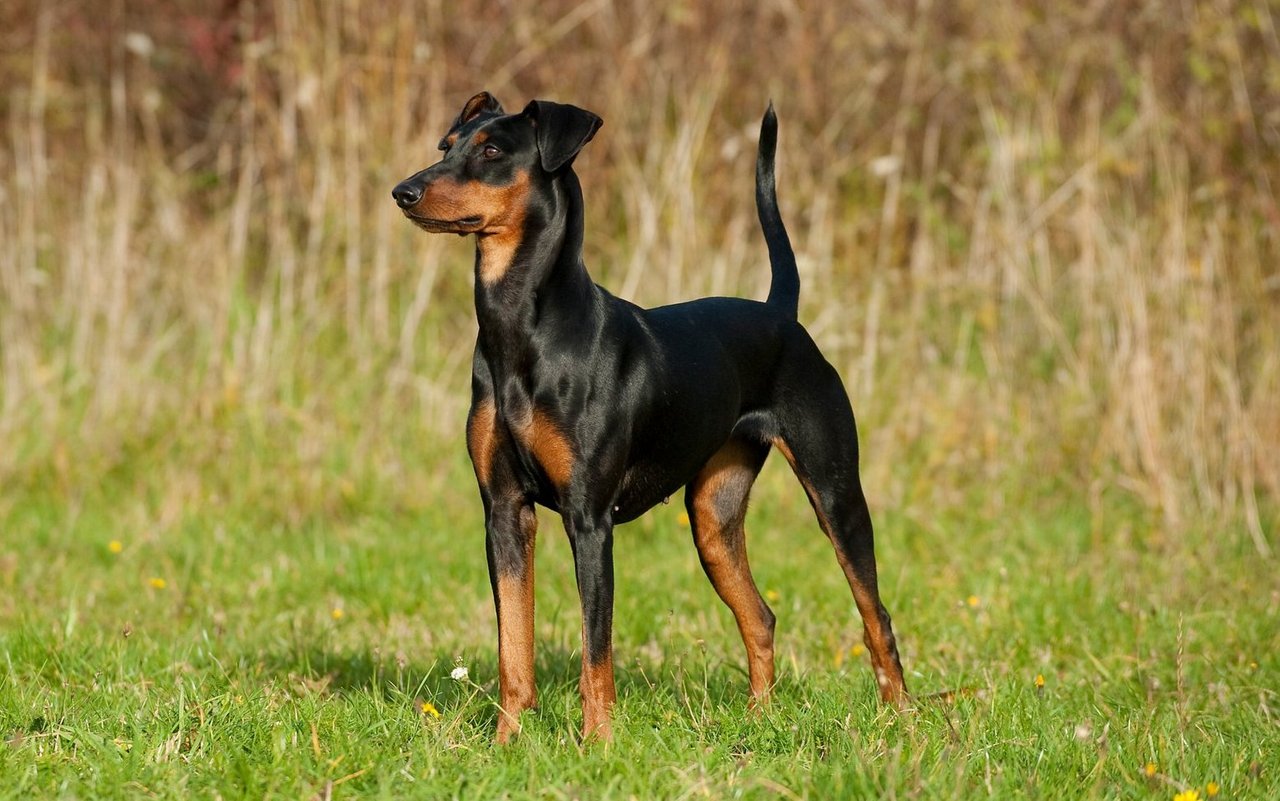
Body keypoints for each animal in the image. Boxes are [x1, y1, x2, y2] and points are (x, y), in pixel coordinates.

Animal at [394, 93, 906, 742]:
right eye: (446, 147)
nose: (404, 191)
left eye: (490, 151)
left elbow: (596, 651)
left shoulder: (589, 519)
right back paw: (758, 724)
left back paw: (903, 723)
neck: (524, 330)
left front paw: (597, 744)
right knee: (760, 616)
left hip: (836, 495)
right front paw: (508, 740)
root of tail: (781, 315)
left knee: (876, 615)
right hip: (712, 519)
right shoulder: (504, 513)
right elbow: (514, 643)